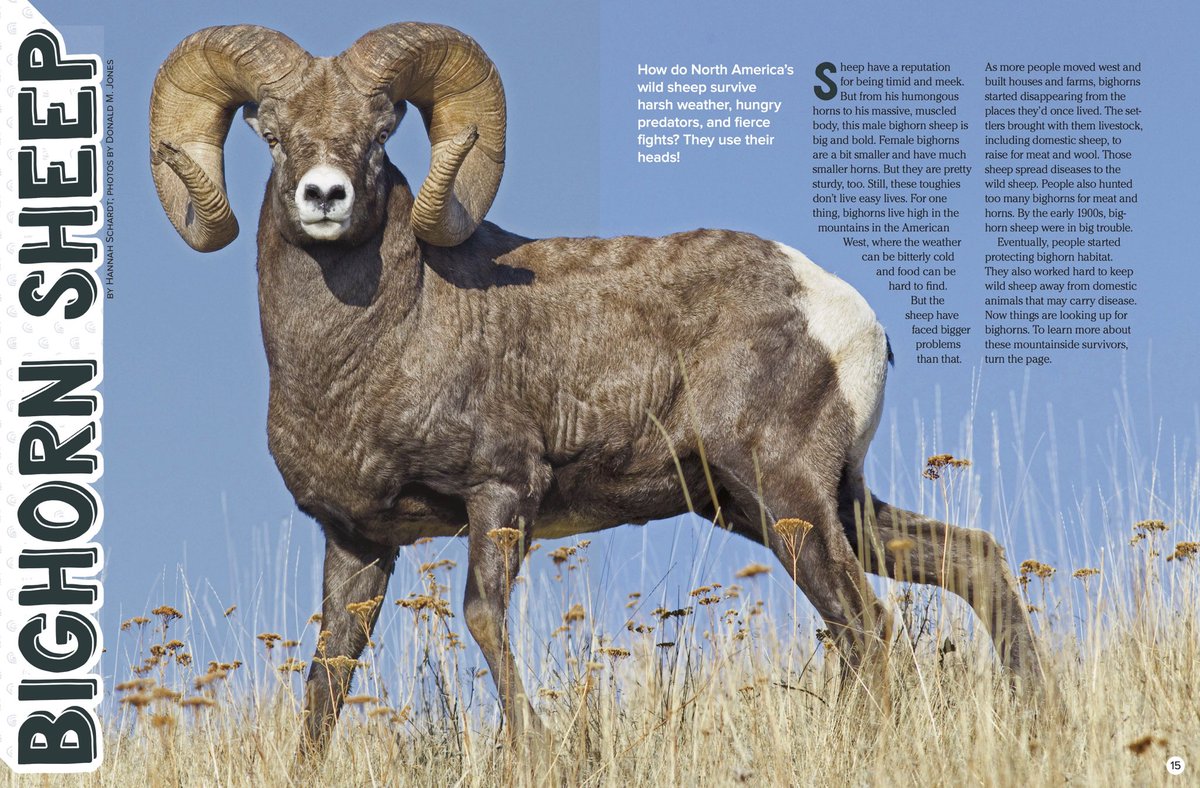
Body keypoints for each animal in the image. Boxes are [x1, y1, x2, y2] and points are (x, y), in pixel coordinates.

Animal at [149, 22, 1043, 757]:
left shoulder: (500, 492)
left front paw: (535, 750)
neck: (379, 342)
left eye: (378, 132)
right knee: (969, 562)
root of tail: (843, 313)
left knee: (866, 626)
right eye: (272, 133)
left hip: (785, 495)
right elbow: (328, 675)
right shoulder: (358, 541)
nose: (325, 197)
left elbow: (481, 615)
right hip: (801, 503)